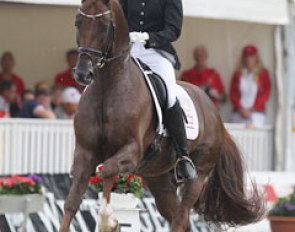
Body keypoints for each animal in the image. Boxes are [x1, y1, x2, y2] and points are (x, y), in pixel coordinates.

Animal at [59, 0, 264, 232]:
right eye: (77, 22)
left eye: (104, 26)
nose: (83, 74)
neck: (107, 86)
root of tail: (214, 113)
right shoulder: (85, 153)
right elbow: (71, 203)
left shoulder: (132, 151)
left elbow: (108, 170)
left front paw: (108, 220)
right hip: (160, 181)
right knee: (178, 218)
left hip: (197, 174)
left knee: (181, 217)